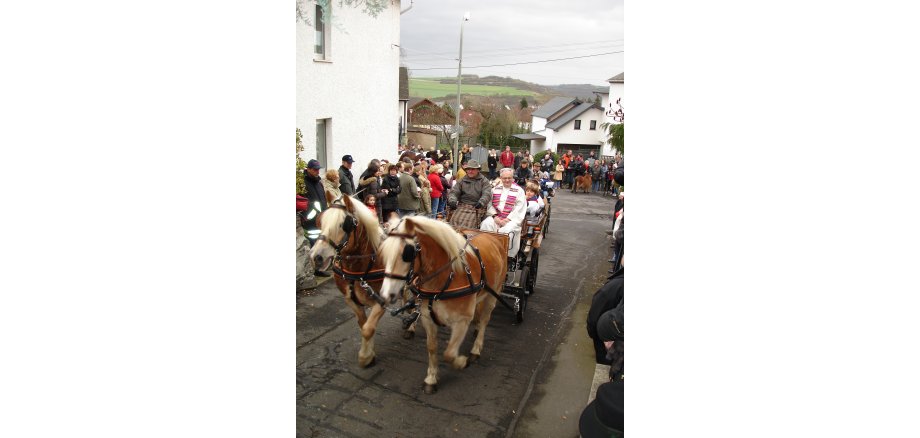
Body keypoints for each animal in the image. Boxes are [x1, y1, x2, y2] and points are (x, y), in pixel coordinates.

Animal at [308, 193, 416, 368]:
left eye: (343, 224)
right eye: (320, 221)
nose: (315, 257)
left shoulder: (381, 300)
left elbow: (368, 328)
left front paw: (365, 357)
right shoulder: (350, 299)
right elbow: (363, 324)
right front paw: (370, 353)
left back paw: (411, 325)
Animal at [378, 216, 506, 394]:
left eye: (407, 254)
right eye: (383, 252)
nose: (385, 295)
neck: (447, 278)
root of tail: (492, 237)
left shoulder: (462, 321)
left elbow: (449, 353)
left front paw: (462, 362)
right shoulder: (427, 318)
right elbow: (432, 348)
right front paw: (431, 379)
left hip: (493, 294)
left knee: (485, 320)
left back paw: (476, 348)